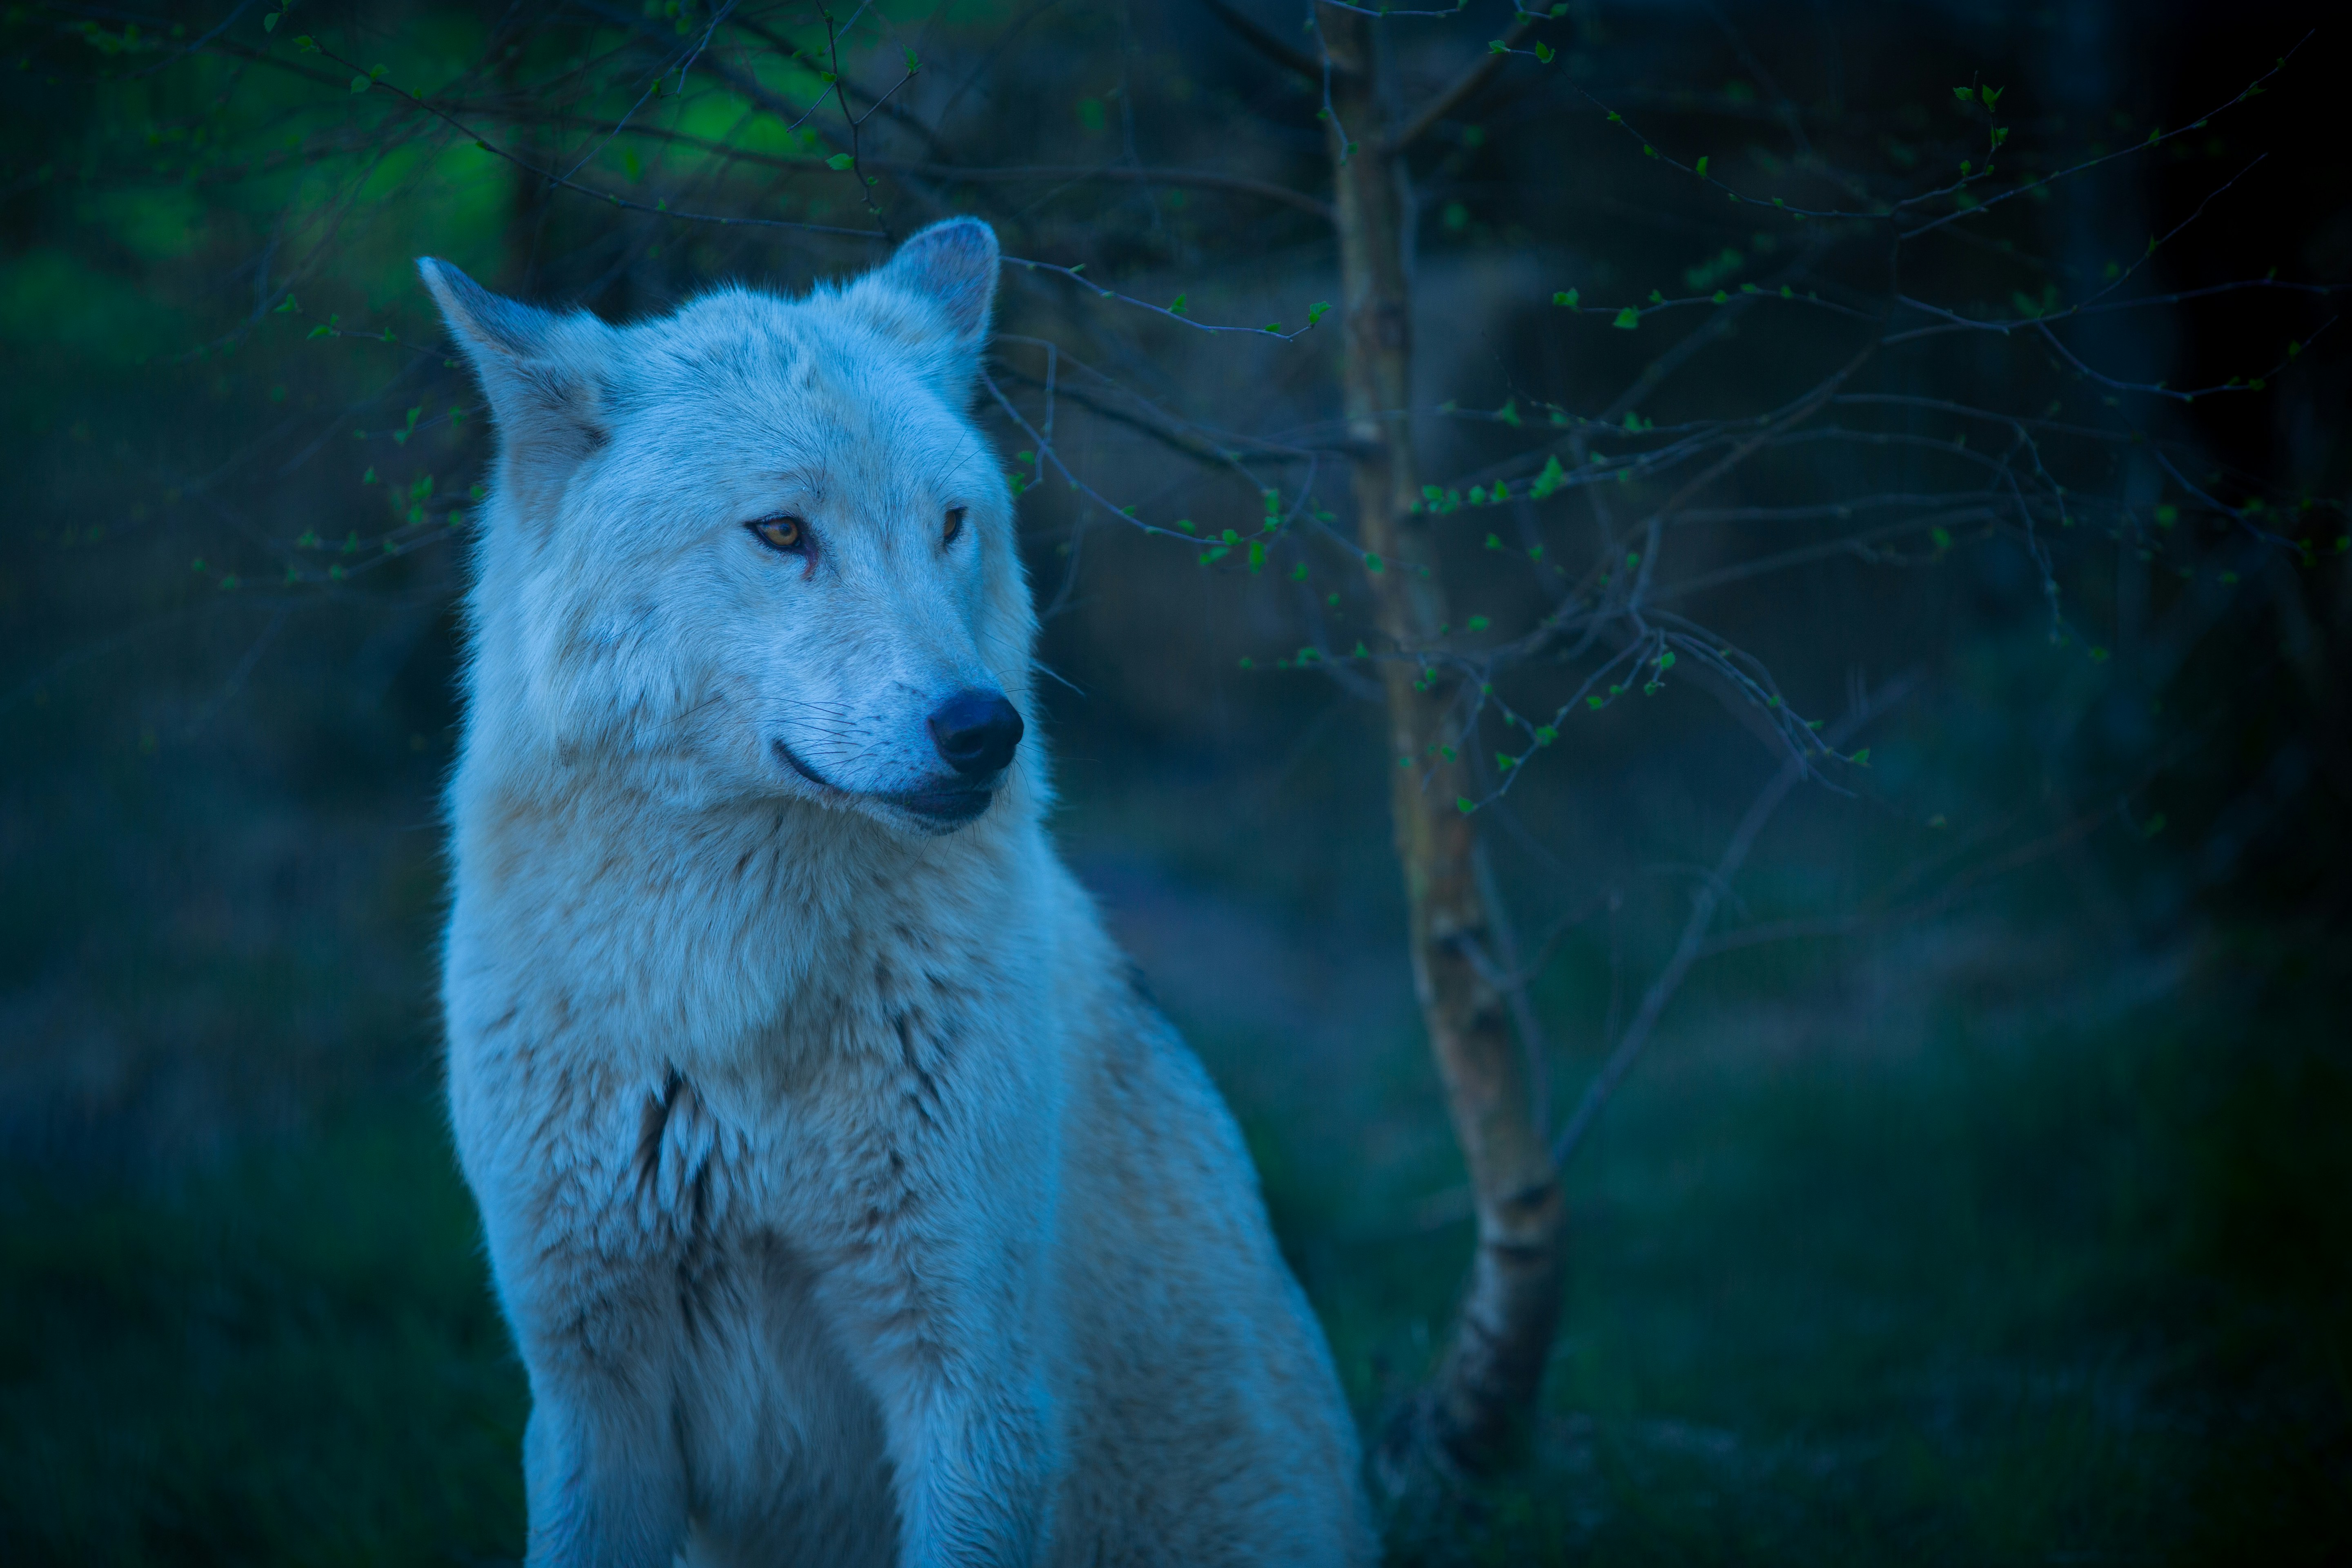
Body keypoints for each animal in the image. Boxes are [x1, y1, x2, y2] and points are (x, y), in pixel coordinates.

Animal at [421, 217, 1376, 1568]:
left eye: (950, 524)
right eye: (781, 533)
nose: (985, 729)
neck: (728, 1003)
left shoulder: (973, 1391)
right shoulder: (589, 1399)